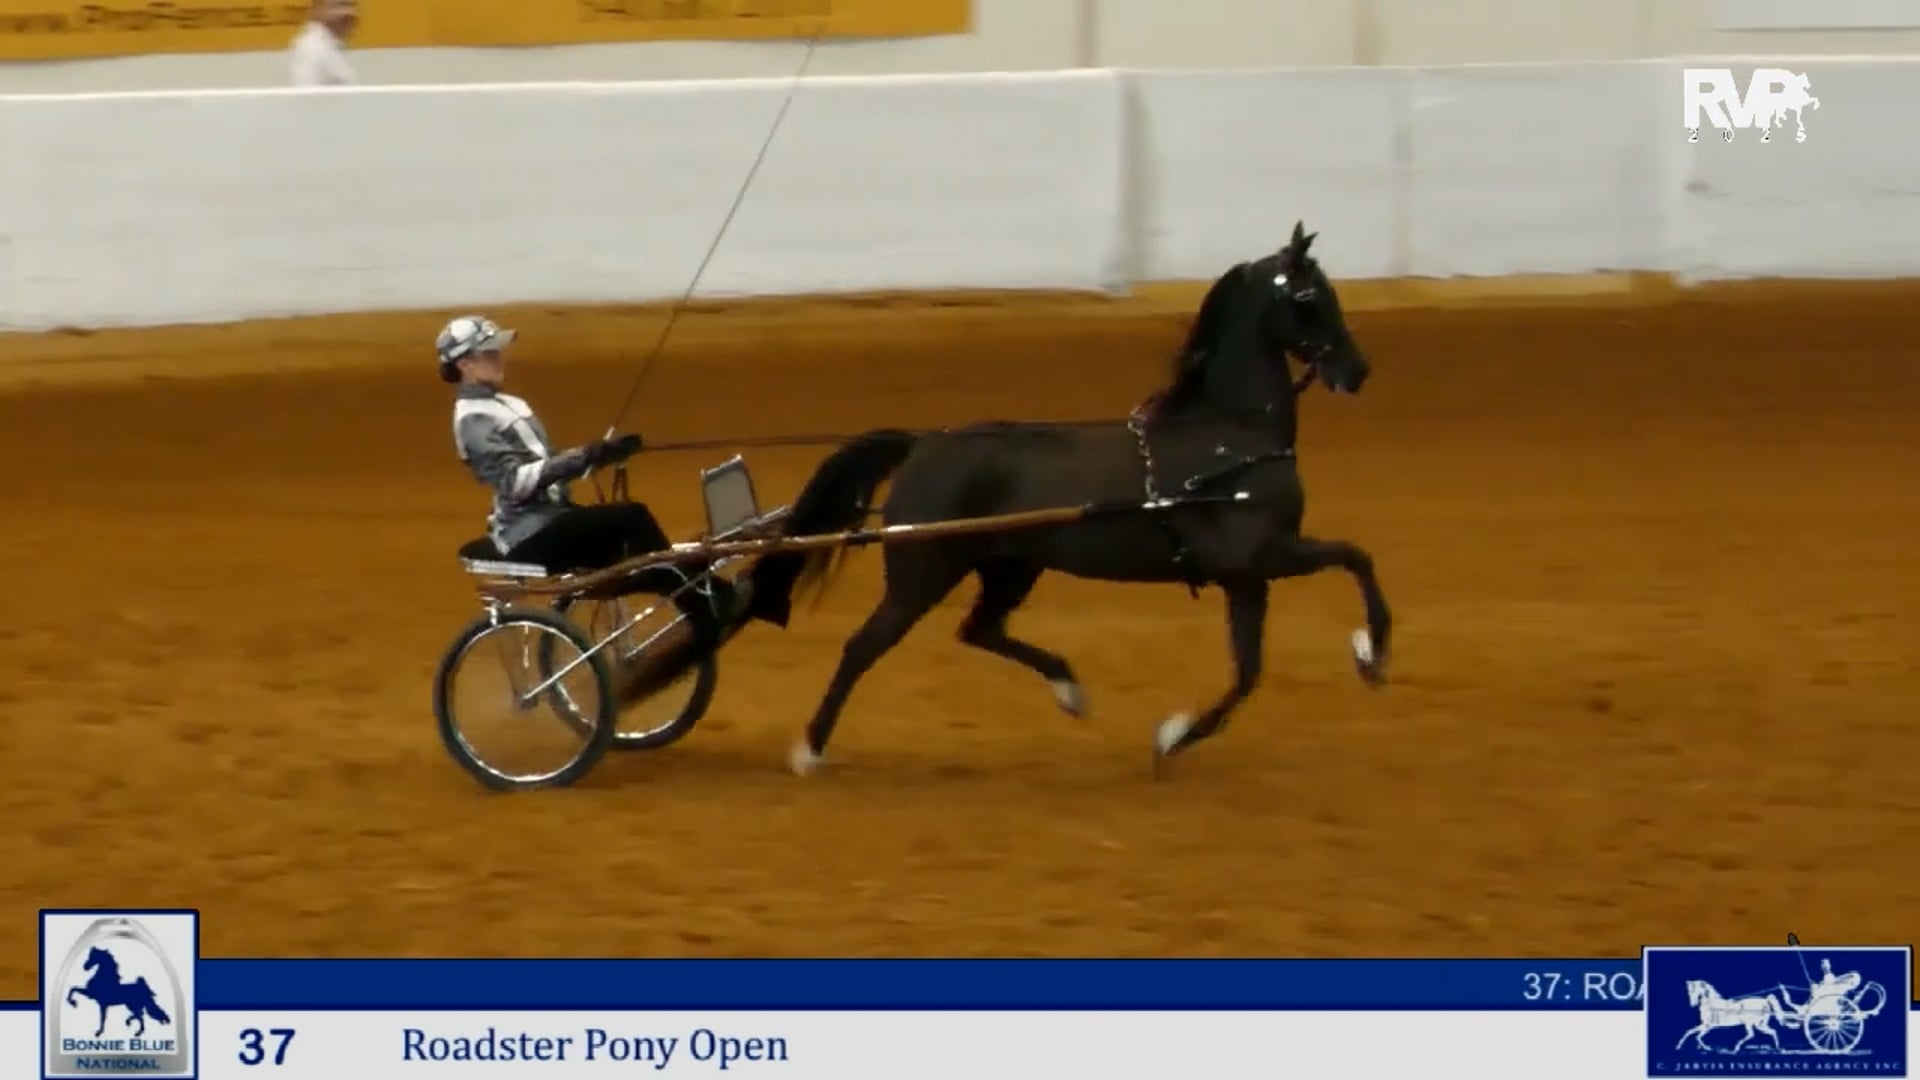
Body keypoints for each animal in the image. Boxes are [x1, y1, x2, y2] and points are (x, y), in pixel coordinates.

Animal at [746, 220, 1392, 776]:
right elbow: (1355, 556)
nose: (1357, 370)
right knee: (866, 644)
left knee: (978, 630)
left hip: (1010, 566)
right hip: (924, 572)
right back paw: (810, 748)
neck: (1230, 438)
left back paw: (1069, 689)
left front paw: (1174, 736)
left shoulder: (1244, 579)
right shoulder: (1262, 557)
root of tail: (925, 443)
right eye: (1308, 296)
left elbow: (1250, 671)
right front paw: (1373, 650)